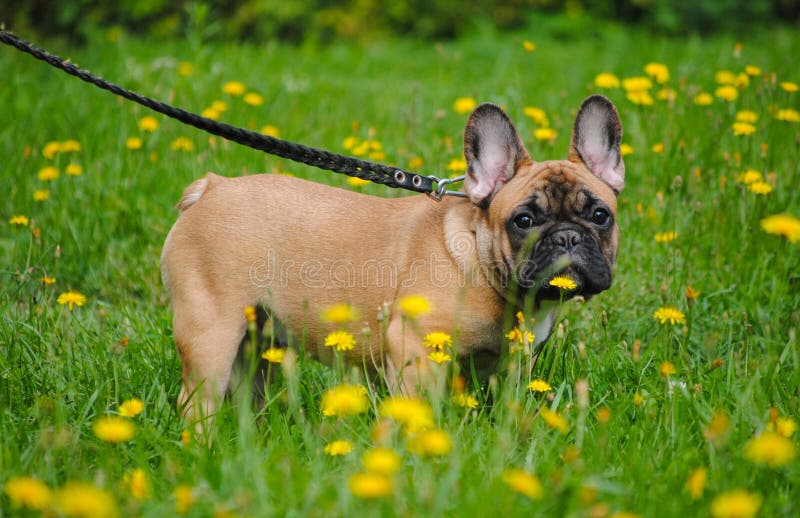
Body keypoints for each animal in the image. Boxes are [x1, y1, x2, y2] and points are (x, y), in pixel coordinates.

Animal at [162, 94, 624, 422]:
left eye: (601, 216)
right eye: (523, 220)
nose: (567, 237)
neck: (481, 262)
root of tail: (212, 187)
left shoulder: (509, 366)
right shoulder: (414, 348)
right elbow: (419, 406)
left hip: (258, 345)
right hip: (211, 336)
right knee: (197, 402)